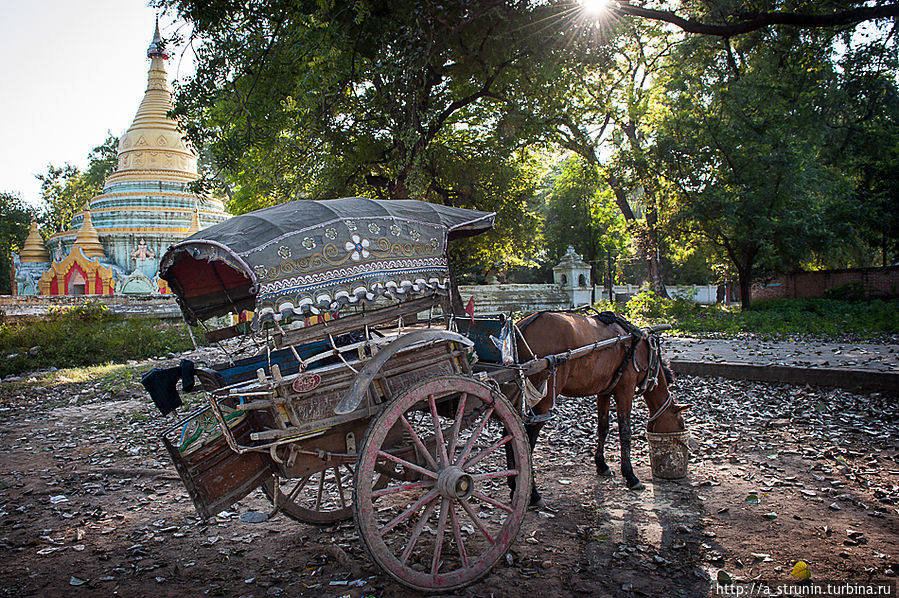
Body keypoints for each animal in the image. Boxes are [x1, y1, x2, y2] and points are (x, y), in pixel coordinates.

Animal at [512, 312, 688, 504]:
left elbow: (603, 428)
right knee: (526, 438)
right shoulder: (625, 389)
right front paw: (630, 476)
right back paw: (533, 494)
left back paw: (515, 486)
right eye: (681, 424)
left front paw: (602, 465)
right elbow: (625, 432)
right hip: (543, 399)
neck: (644, 350)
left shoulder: (604, 391)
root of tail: (522, 327)